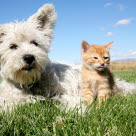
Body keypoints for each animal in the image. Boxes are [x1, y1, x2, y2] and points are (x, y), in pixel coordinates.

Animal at [0, 4, 135, 111]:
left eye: (34, 43)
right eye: (12, 46)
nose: (29, 57)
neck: (31, 83)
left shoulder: (68, 91)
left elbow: (71, 99)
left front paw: (79, 111)